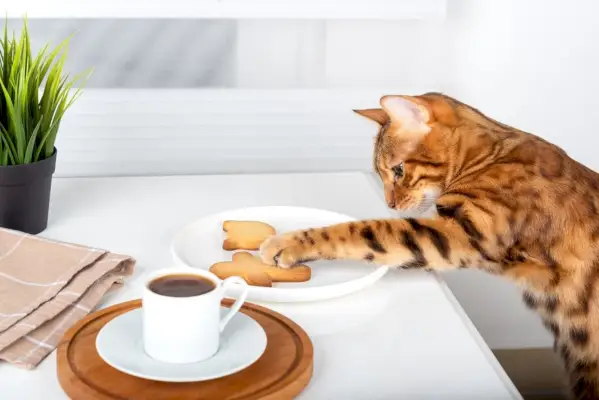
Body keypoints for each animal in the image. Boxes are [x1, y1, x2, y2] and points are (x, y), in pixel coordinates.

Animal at [260, 93, 599, 396]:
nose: (390, 203)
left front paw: (289, 243)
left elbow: (362, 230)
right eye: (381, 174)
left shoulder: (462, 234)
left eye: (398, 170)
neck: (489, 157)